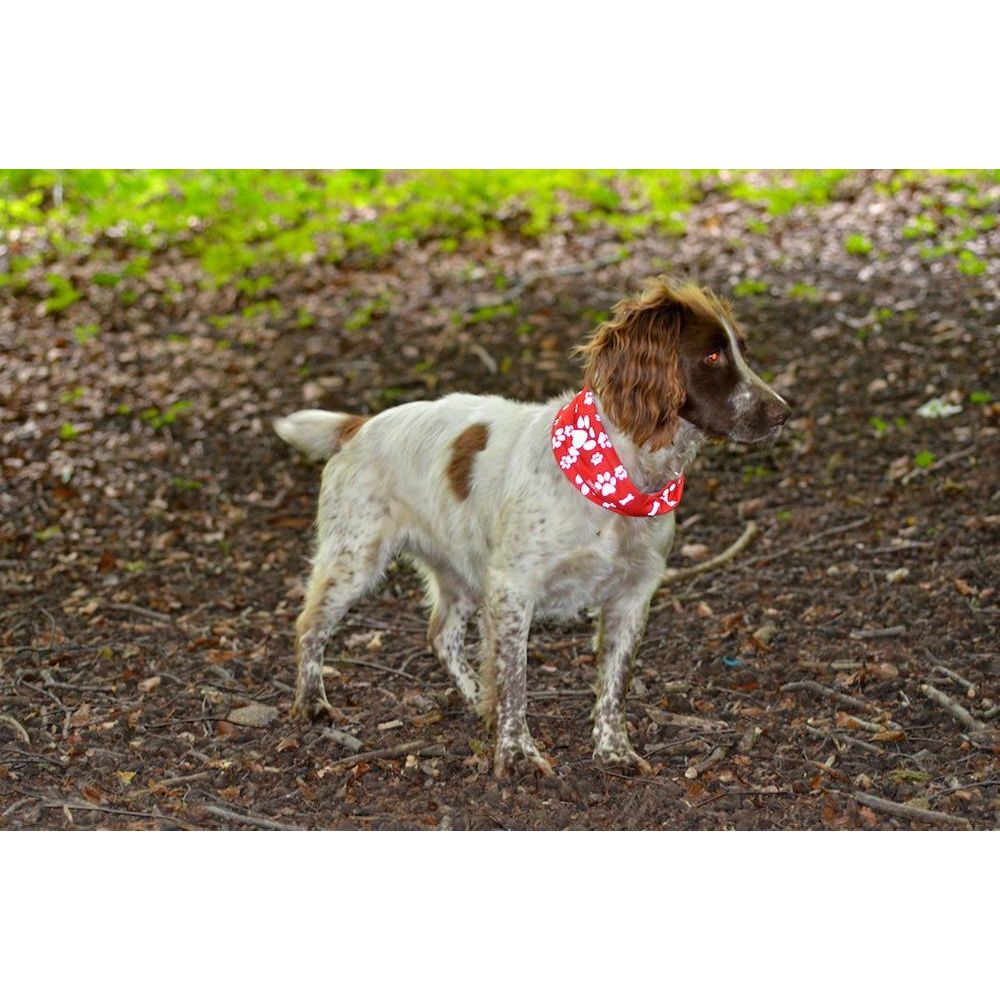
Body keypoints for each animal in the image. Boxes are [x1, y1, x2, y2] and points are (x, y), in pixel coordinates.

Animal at [274, 278, 788, 776]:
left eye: (741, 350)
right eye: (712, 356)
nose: (783, 412)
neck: (617, 473)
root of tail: (357, 427)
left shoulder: (633, 594)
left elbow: (613, 683)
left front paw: (613, 751)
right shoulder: (512, 588)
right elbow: (514, 681)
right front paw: (517, 753)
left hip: (461, 570)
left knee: (441, 634)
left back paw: (473, 697)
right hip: (354, 559)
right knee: (309, 626)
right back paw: (312, 703)